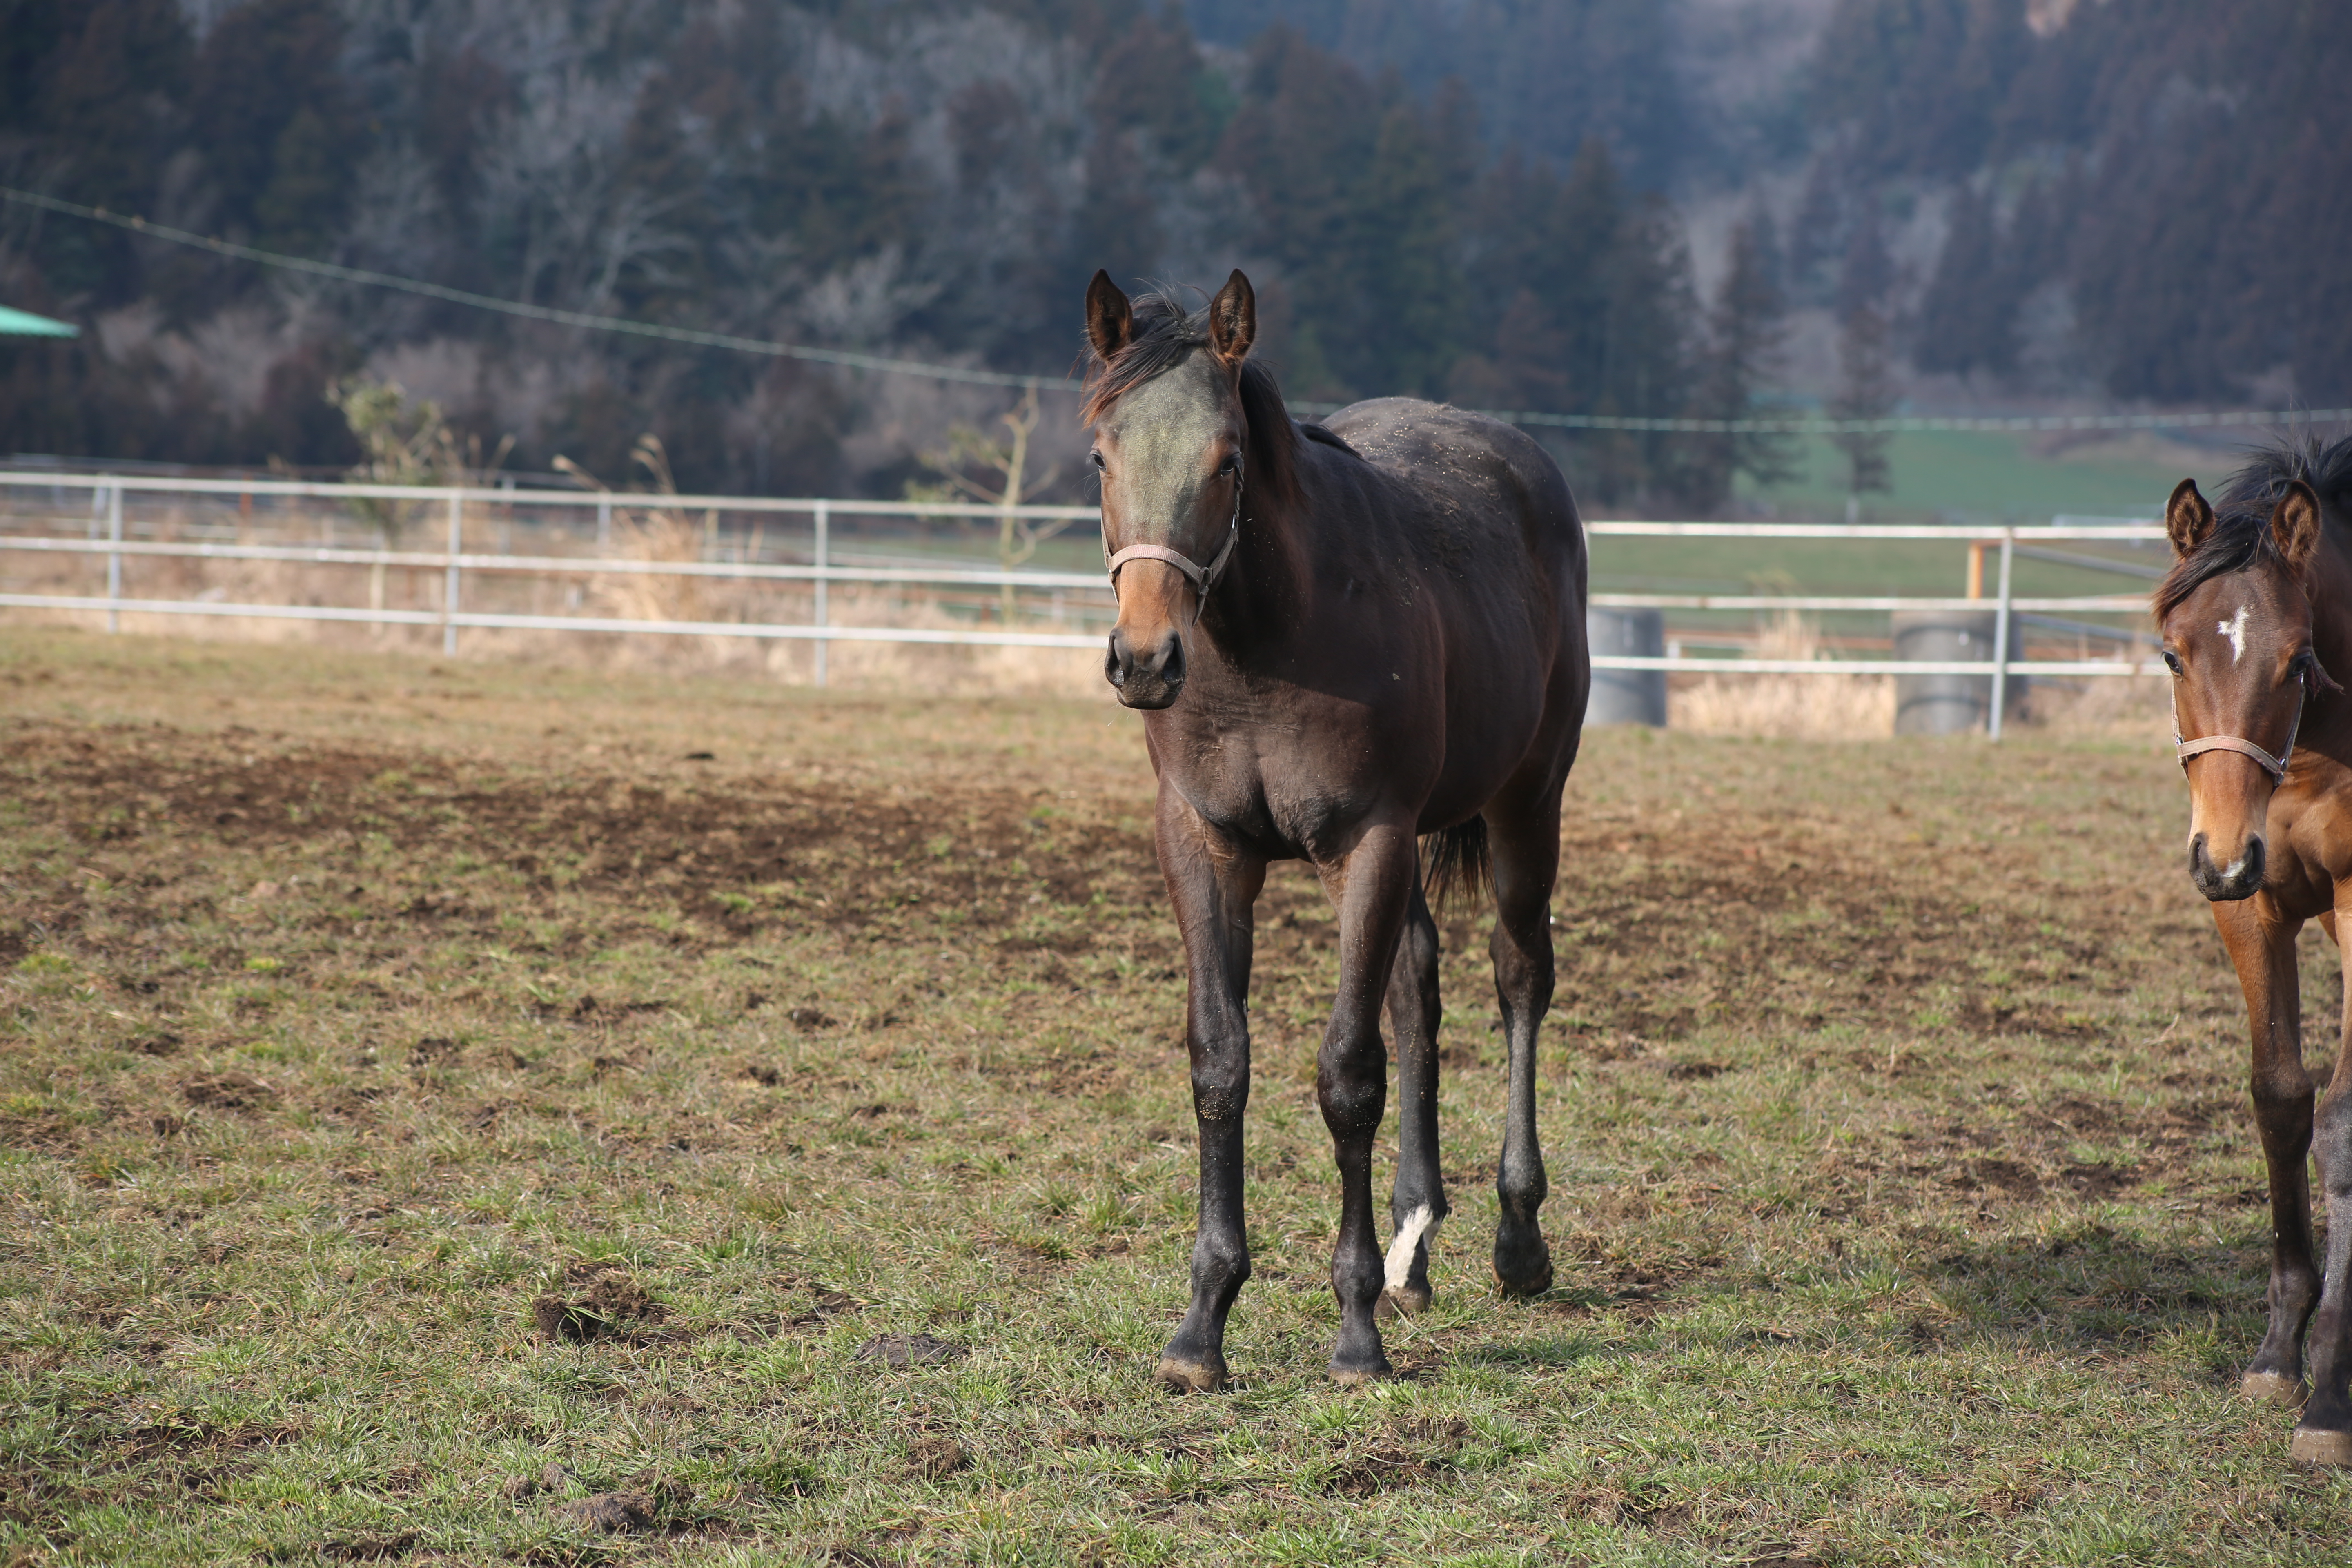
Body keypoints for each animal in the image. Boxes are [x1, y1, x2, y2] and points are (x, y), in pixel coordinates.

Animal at [1087, 272, 1599, 1382]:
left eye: (1226, 459)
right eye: (1100, 454)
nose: (1143, 659)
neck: (1268, 645)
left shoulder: (1367, 841)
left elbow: (1347, 1077)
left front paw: (1355, 1331)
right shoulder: (1204, 845)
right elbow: (1220, 1062)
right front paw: (1201, 1323)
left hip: (1524, 805)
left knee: (1518, 977)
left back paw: (1516, 1238)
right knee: (1417, 985)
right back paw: (1414, 1242)